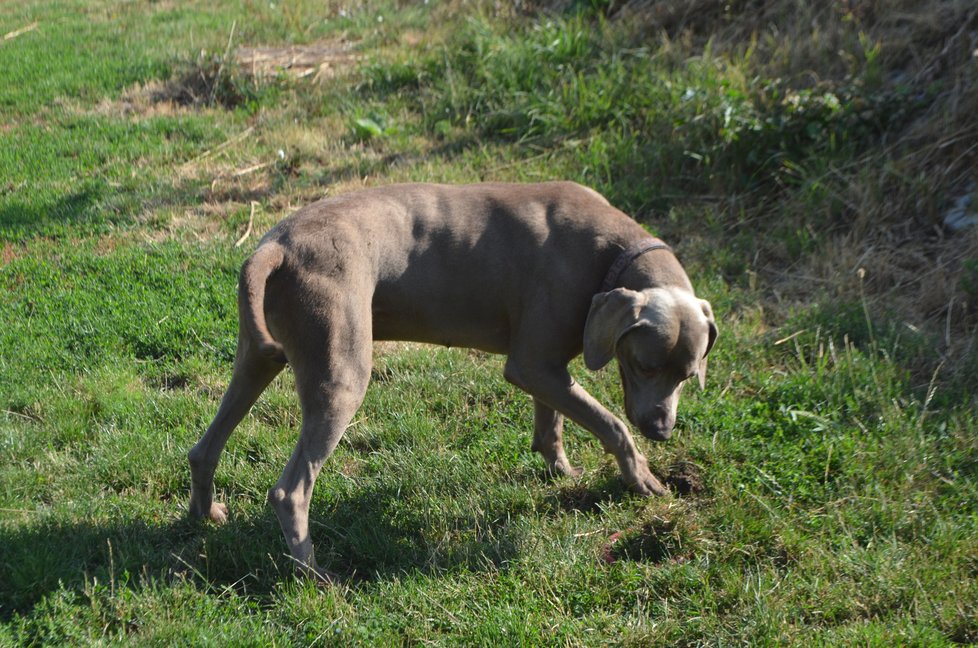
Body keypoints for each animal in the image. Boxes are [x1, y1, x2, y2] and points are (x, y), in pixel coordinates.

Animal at [187, 182, 712, 584]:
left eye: (688, 375)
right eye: (644, 365)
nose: (662, 430)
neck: (613, 253)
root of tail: (276, 244)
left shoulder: (544, 365)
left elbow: (552, 422)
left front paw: (561, 469)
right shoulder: (531, 365)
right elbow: (612, 425)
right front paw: (643, 478)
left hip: (258, 356)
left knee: (204, 447)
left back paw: (202, 516)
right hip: (340, 374)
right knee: (290, 491)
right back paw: (317, 575)